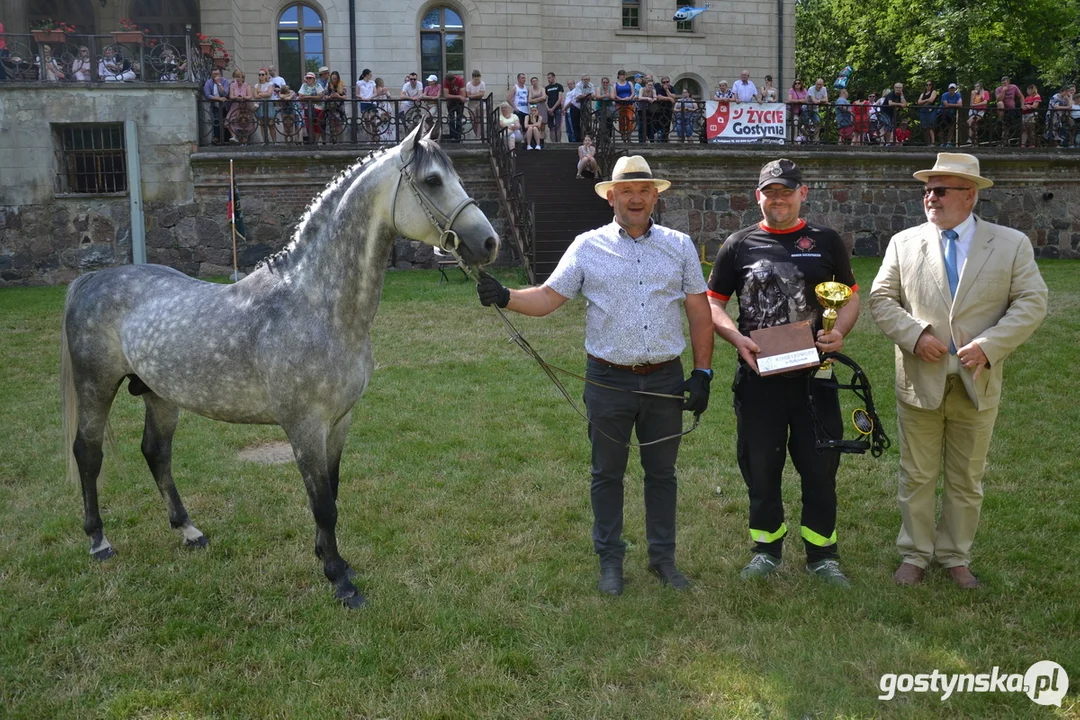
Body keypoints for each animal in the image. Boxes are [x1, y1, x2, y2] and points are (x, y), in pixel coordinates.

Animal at [59, 119, 496, 608]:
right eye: (433, 181)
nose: (488, 243)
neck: (319, 307)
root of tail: (92, 279)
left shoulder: (340, 421)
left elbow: (332, 493)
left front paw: (329, 557)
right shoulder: (304, 425)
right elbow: (322, 503)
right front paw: (340, 581)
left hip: (159, 395)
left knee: (156, 454)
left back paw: (190, 531)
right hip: (97, 386)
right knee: (88, 453)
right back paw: (99, 541)